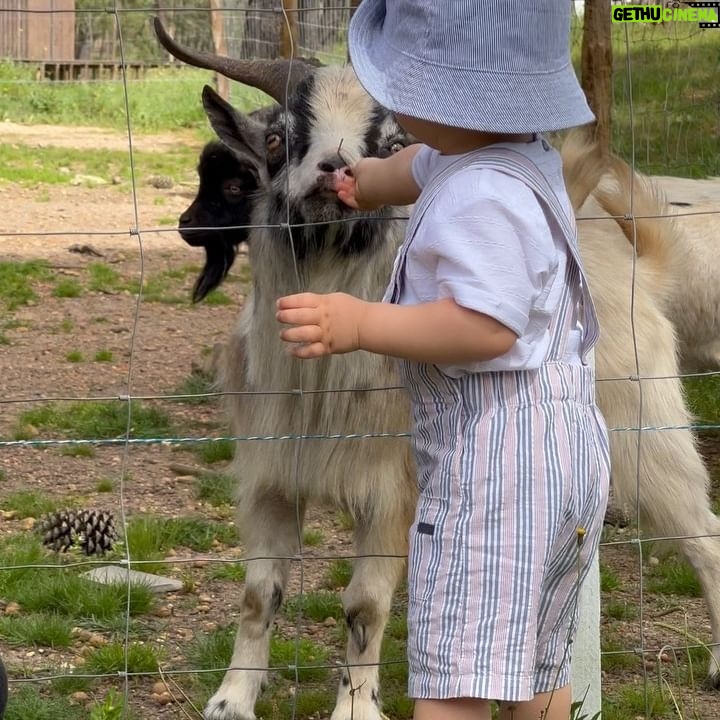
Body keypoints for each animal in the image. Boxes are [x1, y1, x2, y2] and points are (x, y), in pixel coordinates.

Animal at [155, 18, 720, 720]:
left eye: (391, 141)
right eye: (282, 138)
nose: (335, 170)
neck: (319, 391)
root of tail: (636, 258)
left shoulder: (389, 489)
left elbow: (364, 605)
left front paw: (355, 707)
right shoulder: (271, 475)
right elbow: (260, 593)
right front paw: (231, 699)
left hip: (646, 431)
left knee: (703, 535)